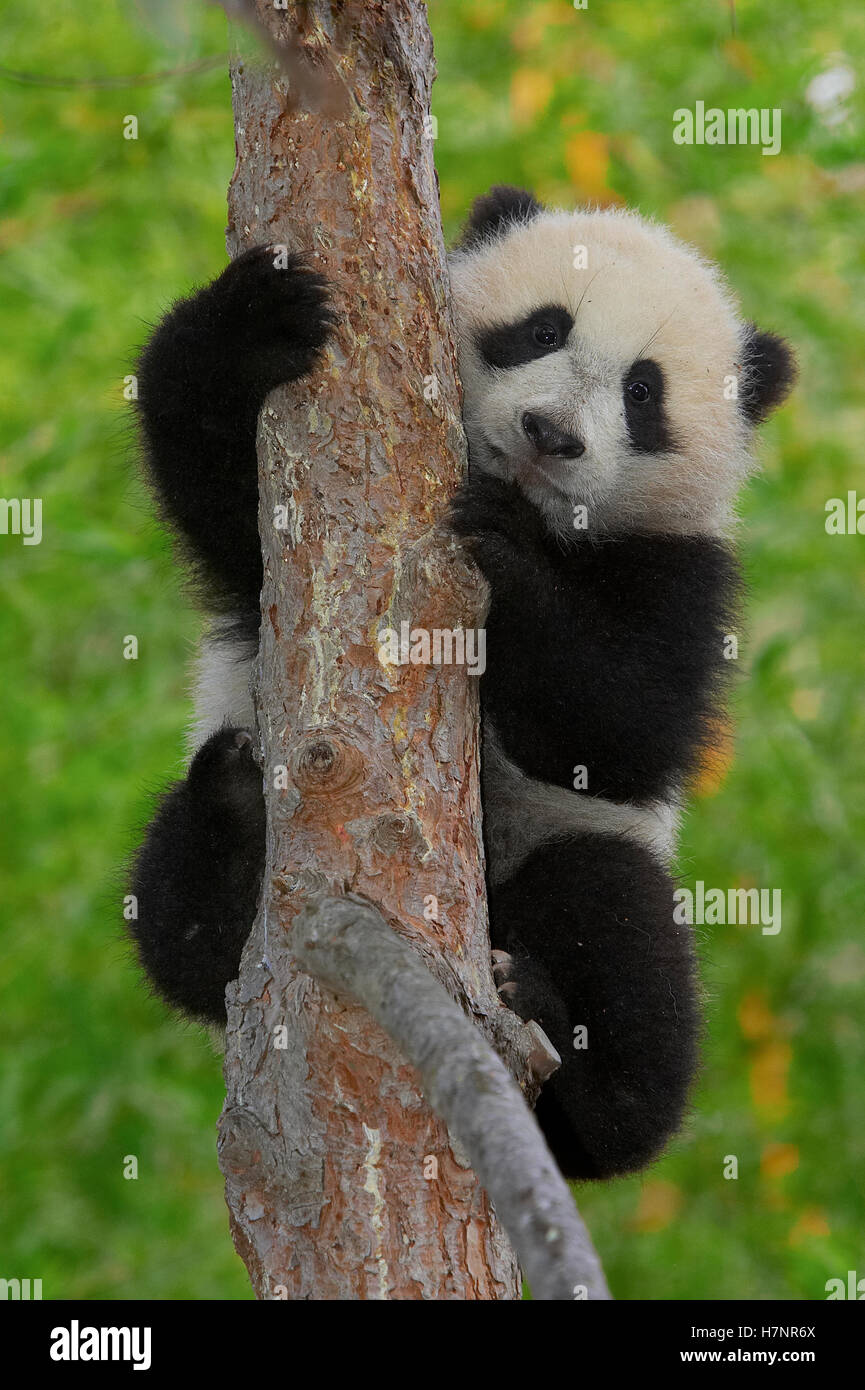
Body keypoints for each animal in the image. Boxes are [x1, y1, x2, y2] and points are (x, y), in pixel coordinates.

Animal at [130, 185, 795, 1180]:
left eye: (642, 392)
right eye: (541, 330)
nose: (550, 435)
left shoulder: (683, 570)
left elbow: (624, 726)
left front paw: (504, 552)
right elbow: (224, 501)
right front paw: (255, 321)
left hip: (569, 870)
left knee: (617, 928)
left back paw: (568, 1054)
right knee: (176, 914)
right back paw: (236, 822)